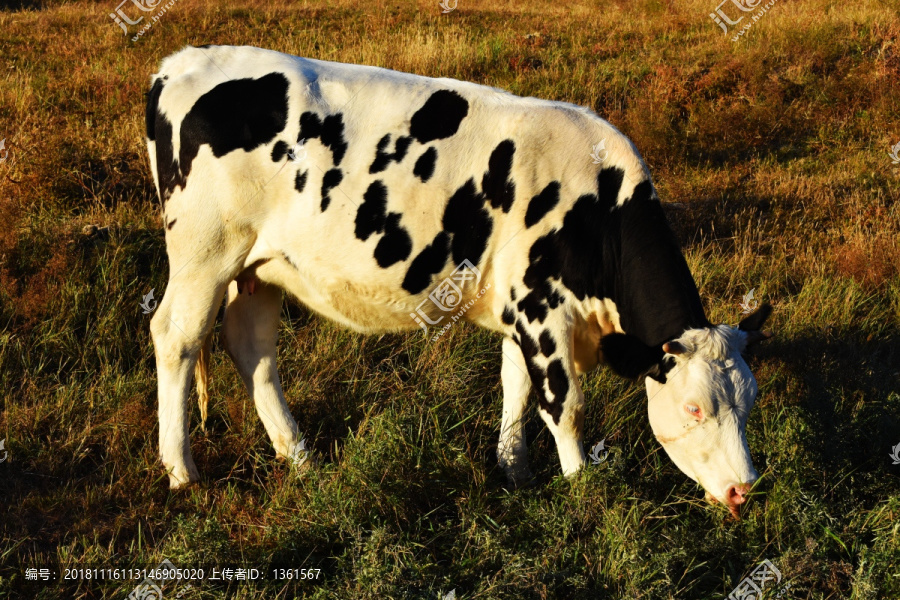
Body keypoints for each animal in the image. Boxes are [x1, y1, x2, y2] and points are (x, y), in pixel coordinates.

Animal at [148, 45, 772, 516]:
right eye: (694, 408)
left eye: (750, 401)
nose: (745, 490)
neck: (597, 205)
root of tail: (182, 62)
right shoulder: (543, 309)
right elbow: (562, 404)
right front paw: (582, 489)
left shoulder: (519, 309)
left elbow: (516, 386)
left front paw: (515, 470)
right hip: (204, 251)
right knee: (175, 337)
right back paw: (182, 470)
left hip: (260, 266)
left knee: (251, 348)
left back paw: (298, 454)